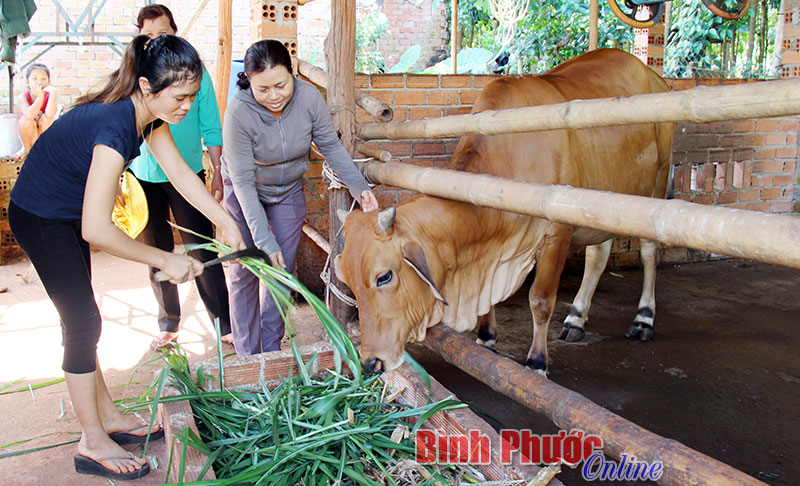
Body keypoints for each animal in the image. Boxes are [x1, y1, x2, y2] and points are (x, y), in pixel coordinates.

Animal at [334, 49, 672, 374]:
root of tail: (653, 75)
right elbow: (490, 301)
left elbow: (540, 299)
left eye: (384, 277)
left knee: (649, 252)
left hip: (654, 187)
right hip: (604, 202)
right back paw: (576, 318)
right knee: (598, 256)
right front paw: (486, 337)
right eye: (348, 279)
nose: (371, 362)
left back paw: (643, 318)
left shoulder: (557, 233)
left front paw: (537, 362)